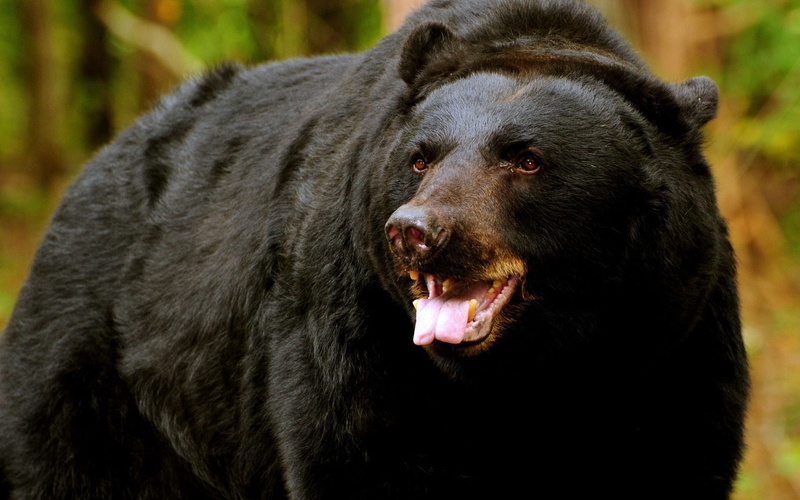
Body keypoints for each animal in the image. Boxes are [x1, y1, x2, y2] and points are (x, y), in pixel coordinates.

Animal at [0, 0, 749, 498]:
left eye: (526, 158)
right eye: (421, 157)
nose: (415, 230)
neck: (529, 375)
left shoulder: (669, 339)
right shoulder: (359, 337)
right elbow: (362, 455)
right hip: (97, 371)